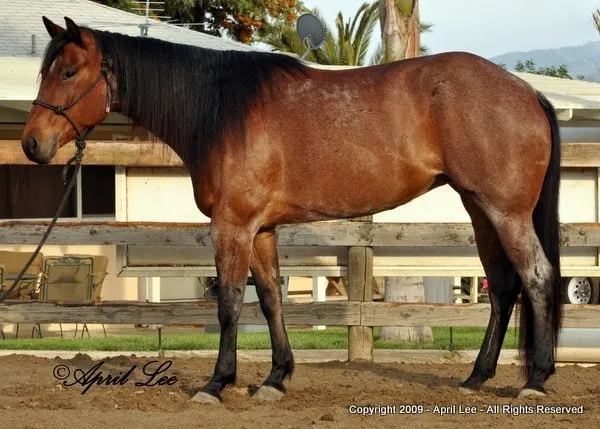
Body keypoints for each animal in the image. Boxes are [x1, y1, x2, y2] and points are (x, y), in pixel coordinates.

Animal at [19, 16, 564, 402]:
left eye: (68, 71)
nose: (31, 144)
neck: (222, 111)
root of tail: (526, 92)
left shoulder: (232, 227)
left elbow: (229, 303)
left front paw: (217, 384)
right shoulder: (261, 231)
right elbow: (270, 300)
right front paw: (276, 378)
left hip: (505, 212)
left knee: (537, 277)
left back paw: (535, 380)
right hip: (480, 210)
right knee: (503, 287)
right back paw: (476, 376)